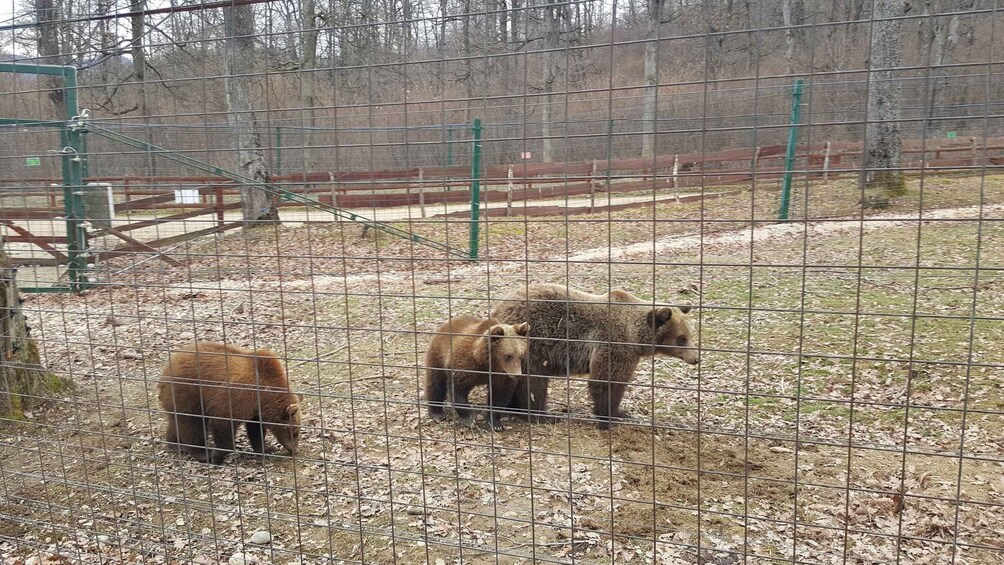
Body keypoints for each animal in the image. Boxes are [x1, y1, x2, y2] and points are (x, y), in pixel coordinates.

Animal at [156, 341, 301, 463]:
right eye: (295, 432)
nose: (295, 450)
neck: (264, 395)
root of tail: (168, 365)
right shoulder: (239, 396)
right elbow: (223, 424)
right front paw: (217, 456)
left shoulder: (255, 409)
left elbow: (255, 429)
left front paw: (267, 448)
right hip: (187, 391)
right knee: (192, 423)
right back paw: (202, 454)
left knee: (177, 420)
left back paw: (175, 444)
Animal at [491, 285, 698, 431]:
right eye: (681, 338)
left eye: (690, 334)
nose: (696, 358)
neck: (634, 336)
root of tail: (497, 311)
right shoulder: (614, 344)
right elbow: (607, 381)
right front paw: (612, 416)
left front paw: (621, 413)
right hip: (531, 347)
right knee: (534, 383)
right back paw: (543, 415)